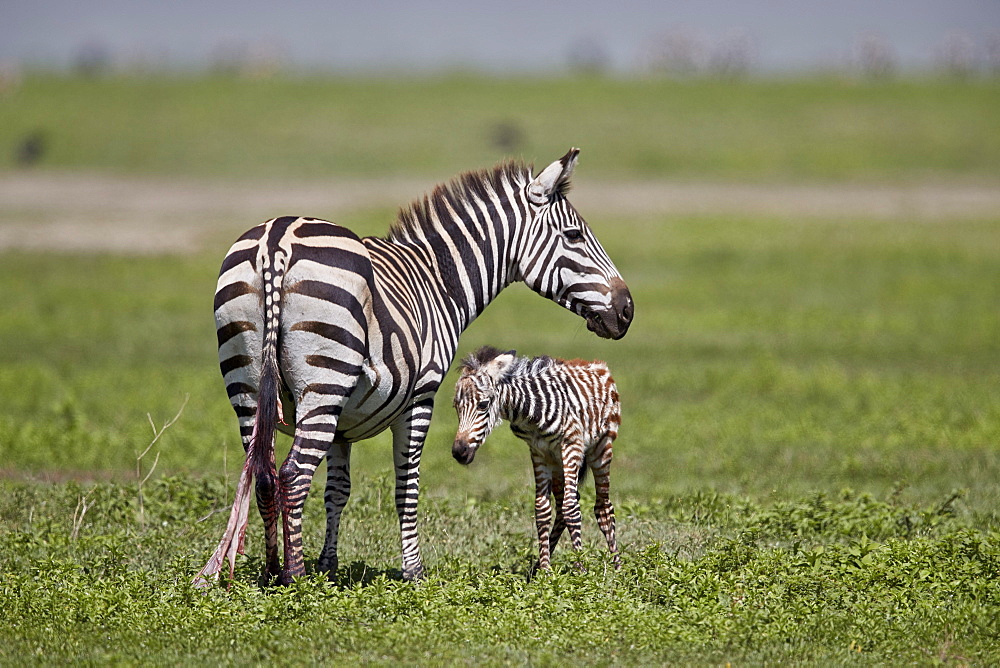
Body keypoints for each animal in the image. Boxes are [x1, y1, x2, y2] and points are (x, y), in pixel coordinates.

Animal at [458, 348, 620, 572]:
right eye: (456, 407)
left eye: (483, 405)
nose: (459, 452)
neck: (530, 413)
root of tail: (594, 364)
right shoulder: (538, 452)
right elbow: (542, 509)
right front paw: (545, 571)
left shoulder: (572, 445)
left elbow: (571, 509)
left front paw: (581, 570)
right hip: (557, 462)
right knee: (562, 507)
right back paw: (536, 569)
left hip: (600, 448)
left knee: (602, 507)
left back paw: (617, 570)